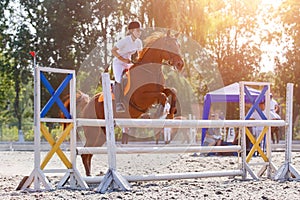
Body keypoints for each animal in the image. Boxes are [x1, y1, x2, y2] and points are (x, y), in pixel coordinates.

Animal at [81, 30, 184, 176]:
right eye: (169, 45)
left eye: (179, 45)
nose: (180, 64)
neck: (150, 70)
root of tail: (87, 105)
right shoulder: (141, 98)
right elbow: (163, 96)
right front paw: (161, 113)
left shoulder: (159, 89)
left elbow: (172, 91)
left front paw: (171, 112)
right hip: (93, 132)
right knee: (85, 153)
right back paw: (88, 177)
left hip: (101, 134)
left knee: (89, 153)